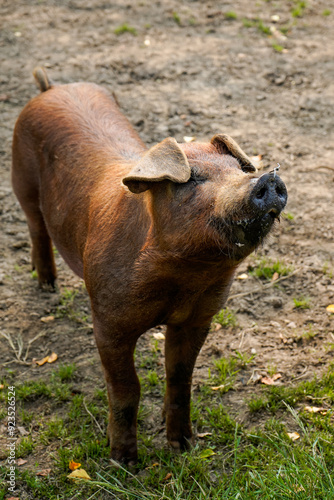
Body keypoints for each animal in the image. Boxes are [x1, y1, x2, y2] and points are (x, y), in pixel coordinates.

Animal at [10, 67, 288, 464]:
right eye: (192, 178)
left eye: (238, 169)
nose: (268, 177)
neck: (182, 278)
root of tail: (50, 89)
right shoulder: (107, 322)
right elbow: (128, 389)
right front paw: (125, 462)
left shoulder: (199, 317)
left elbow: (180, 377)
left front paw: (183, 446)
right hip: (21, 182)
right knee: (36, 228)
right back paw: (47, 286)